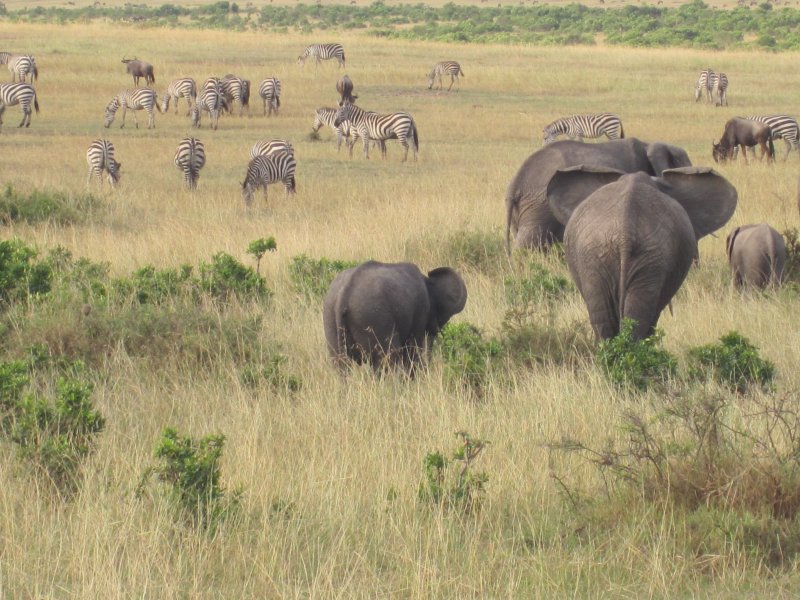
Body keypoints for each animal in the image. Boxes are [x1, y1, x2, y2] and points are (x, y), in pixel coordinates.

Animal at [323, 261, 468, 372]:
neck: (428, 282)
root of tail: (343, 296)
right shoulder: (420, 311)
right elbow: (412, 349)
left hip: (330, 318)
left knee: (340, 364)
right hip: (374, 319)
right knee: (388, 359)